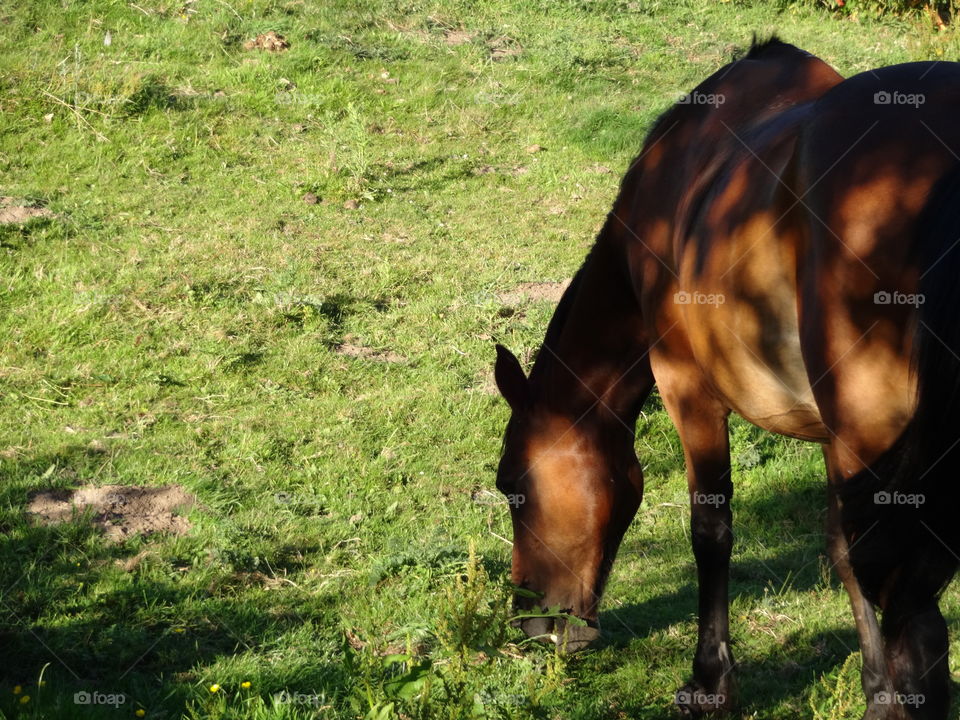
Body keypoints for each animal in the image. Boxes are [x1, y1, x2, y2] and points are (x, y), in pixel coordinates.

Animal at [496, 39, 960, 720]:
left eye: (512, 487)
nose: (531, 624)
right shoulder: (836, 441)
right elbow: (842, 552)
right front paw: (875, 689)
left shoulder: (687, 387)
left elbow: (710, 532)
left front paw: (710, 682)